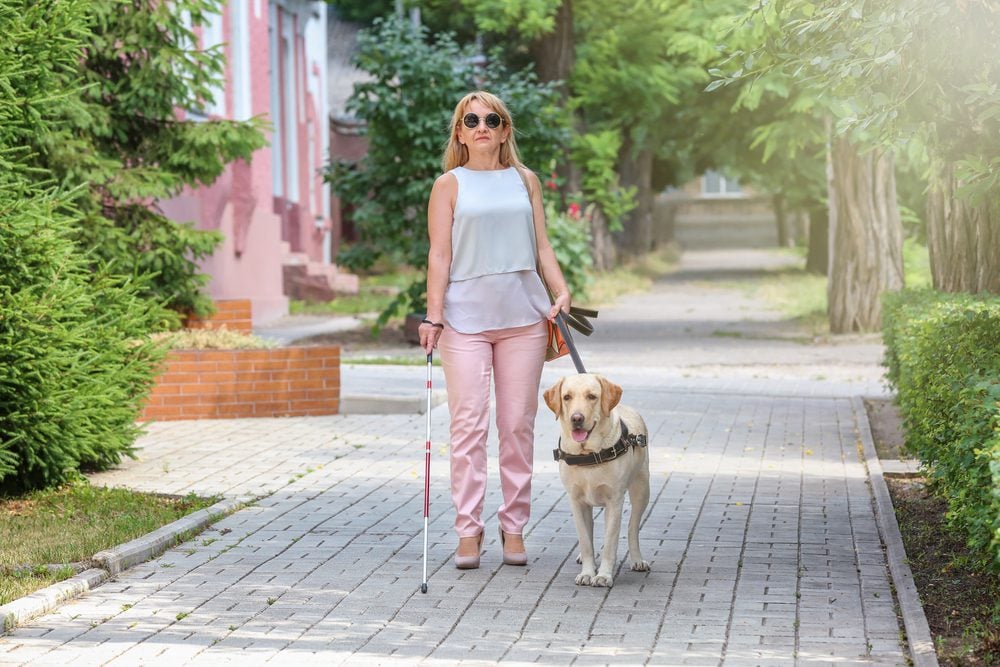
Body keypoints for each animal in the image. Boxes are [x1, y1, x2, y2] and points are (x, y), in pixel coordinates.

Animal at [544, 374, 652, 588]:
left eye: (592, 396)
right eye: (566, 397)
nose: (576, 418)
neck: (588, 454)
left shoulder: (614, 501)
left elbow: (610, 542)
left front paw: (603, 575)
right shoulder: (576, 501)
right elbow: (585, 540)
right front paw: (587, 572)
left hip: (642, 490)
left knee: (632, 528)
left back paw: (636, 559)